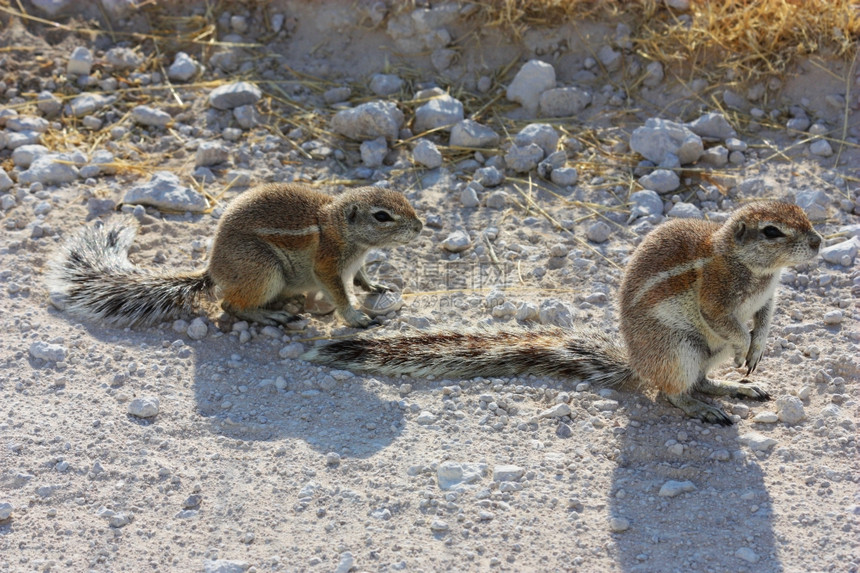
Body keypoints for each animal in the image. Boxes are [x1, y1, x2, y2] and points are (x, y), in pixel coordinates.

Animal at [47, 183, 424, 326]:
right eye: (382, 216)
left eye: (404, 198)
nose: (421, 226)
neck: (342, 229)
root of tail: (213, 271)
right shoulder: (328, 266)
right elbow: (340, 292)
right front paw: (356, 317)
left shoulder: (356, 265)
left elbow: (361, 278)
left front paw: (377, 288)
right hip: (263, 270)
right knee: (231, 305)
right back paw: (271, 316)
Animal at [306, 201, 824, 424]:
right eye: (773, 231)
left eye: (804, 214)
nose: (819, 242)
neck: (752, 267)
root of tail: (636, 364)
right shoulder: (717, 297)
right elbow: (725, 322)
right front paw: (743, 345)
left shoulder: (768, 297)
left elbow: (766, 317)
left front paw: (757, 347)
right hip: (681, 349)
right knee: (673, 392)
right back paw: (703, 407)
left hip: (694, 355)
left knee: (699, 382)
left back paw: (737, 388)